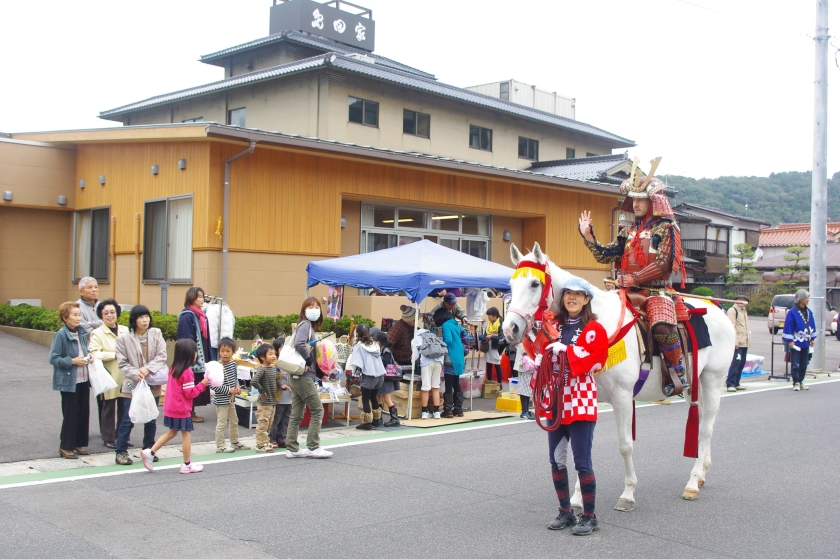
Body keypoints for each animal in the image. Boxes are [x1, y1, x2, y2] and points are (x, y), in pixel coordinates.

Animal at [502, 243, 732, 510]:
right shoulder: (589, 396)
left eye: (534, 284)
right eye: (511, 284)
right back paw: (702, 473)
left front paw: (628, 492)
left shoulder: (622, 396)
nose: (510, 329)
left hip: (713, 378)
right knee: (705, 420)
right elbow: (584, 447)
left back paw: (693, 483)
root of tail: (718, 311)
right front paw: (578, 497)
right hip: (693, 385)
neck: (598, 322)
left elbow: (625, 446)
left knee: (705, 428)